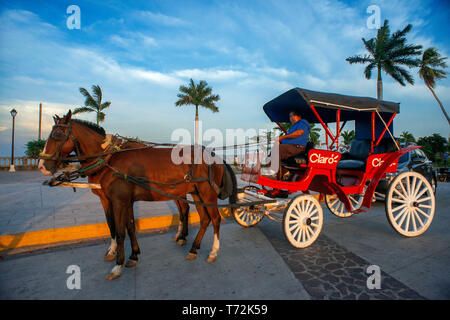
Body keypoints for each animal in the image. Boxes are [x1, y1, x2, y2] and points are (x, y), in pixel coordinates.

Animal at [38, 110, 236, 280]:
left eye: (57, 135)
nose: (42, 165)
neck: (109, 159)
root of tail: (214, 156)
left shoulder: (119, 201)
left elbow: (120, 231)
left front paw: (118, 265)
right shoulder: (119, 200)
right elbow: (126, 226)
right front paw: (132, 256)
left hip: (207, 194)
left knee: (215, 219)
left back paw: (213, 251)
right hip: (196, 193)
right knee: (203, 218)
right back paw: (193, 248)